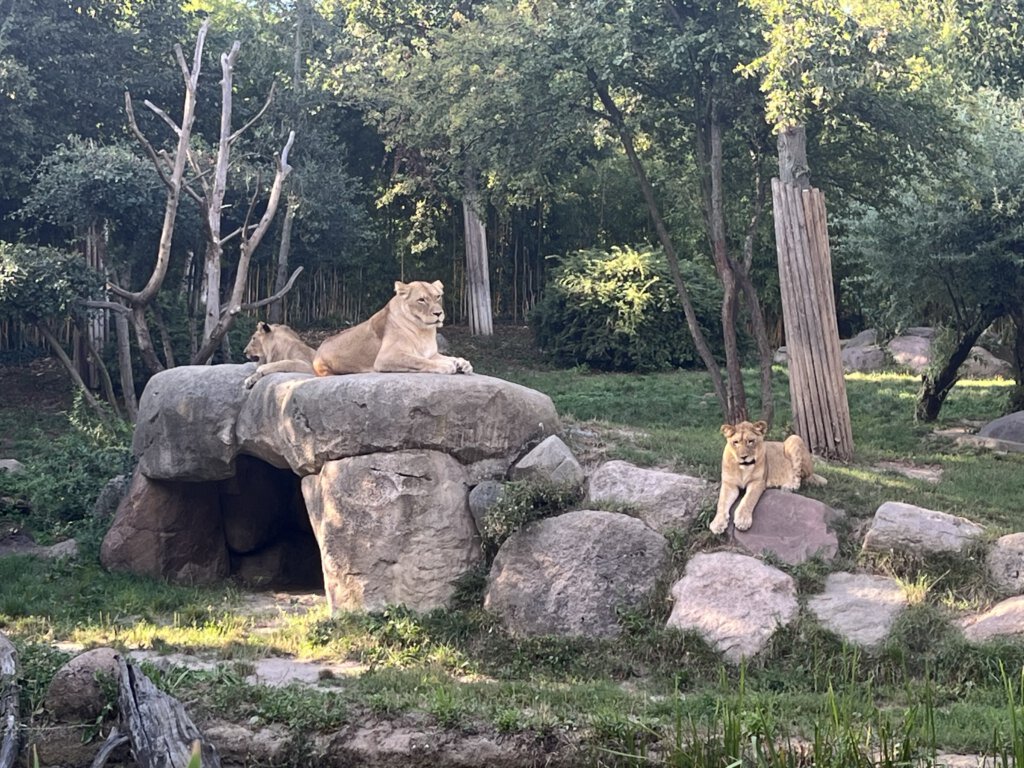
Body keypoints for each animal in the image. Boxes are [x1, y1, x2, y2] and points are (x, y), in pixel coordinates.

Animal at [311, 282, 471, 378]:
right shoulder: (386, 357)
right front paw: (446, 365)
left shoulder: (431, 354)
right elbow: (418, 360)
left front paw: (463, 364)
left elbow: (446, 357)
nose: (439, 313)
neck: (423, 331)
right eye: (421, 300)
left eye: (437, 296)